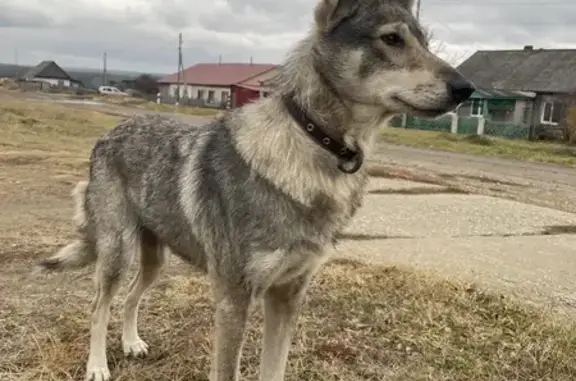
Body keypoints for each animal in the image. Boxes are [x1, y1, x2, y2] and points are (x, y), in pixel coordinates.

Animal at [38, 0, 474, 380]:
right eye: (392, 39)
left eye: (426, 42)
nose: (466, 89)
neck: (314, 142)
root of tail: (109, 134)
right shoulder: (234, 300)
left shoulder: (287, 295)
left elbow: (274, 370)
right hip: (117, 253)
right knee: (99, 306)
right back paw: (98, 367)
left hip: (154, 259)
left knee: (131, 296)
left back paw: (131, 344)